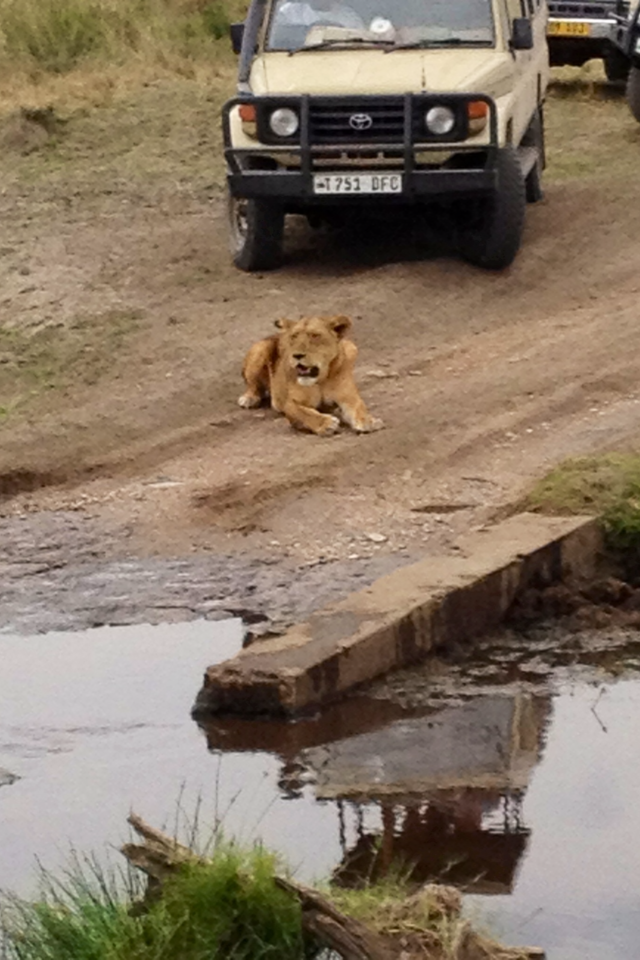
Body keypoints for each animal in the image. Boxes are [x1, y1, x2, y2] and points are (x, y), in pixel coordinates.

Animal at [238, 315, 384, 437]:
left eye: (314, 336)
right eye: (294, 336)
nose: (297, 355)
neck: (321, 379)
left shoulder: (349, 397)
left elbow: (359, 407)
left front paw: (369, 421)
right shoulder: (289, 403)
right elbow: (305, 413)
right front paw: (326, 424)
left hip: (351, 346)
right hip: (259, 350)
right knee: (252, 385)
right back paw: (249, 398)